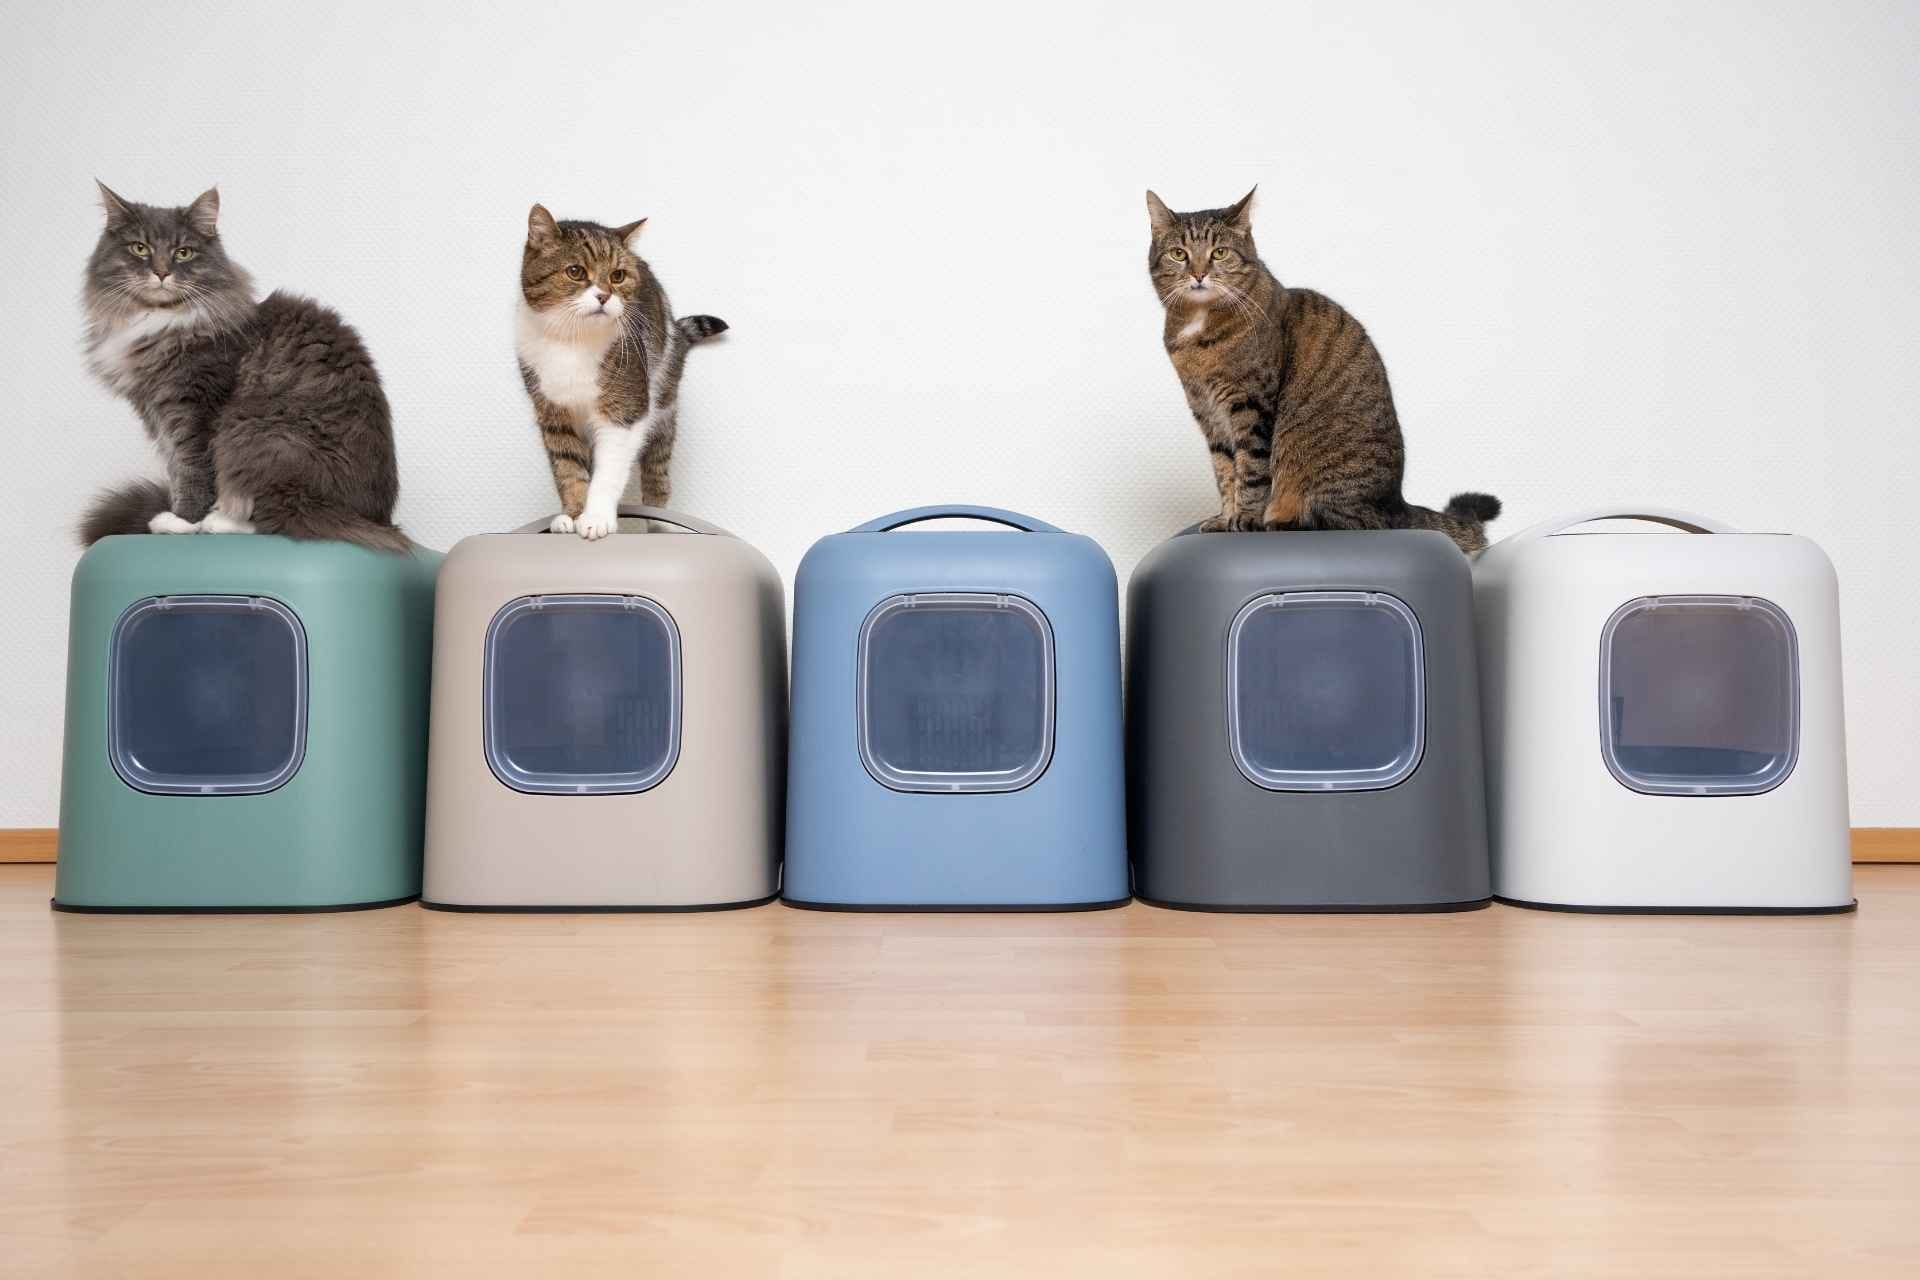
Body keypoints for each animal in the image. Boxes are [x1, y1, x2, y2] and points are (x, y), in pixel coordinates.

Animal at [80, 184, 407, 552]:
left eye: (183, 253)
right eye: (140, 248)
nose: (162, 272)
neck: (160, 321)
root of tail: (378, 518)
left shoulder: (196, 407)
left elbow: (193, 470)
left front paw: (183, 521)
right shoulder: (157, 414)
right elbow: (176, 469)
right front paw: (178, 514)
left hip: (255, 432)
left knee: (279, 518)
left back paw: (215, 522)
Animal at [518, 204, 725, 541]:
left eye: (617, 276)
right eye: (575, 271)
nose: (604, 296)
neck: (572, 340)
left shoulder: (625, 409)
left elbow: (609, 470)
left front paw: (595, 518)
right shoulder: (553, 414)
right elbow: (567, 468)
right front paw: (571, 516)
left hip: (663, 403)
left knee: (657, 476)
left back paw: (659, 525)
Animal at [1136, 184, 1497, 552]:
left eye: (1219, 253)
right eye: (1179, 254)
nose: (1198, 274)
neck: (1199, 328)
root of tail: (1397, 503)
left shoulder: (1251, 407)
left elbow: (1250, 473)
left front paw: (1245, 520)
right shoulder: (1209, 415)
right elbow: (1225, 472)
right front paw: (1225, 518)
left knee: (1348, 523)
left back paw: (1280, 523)